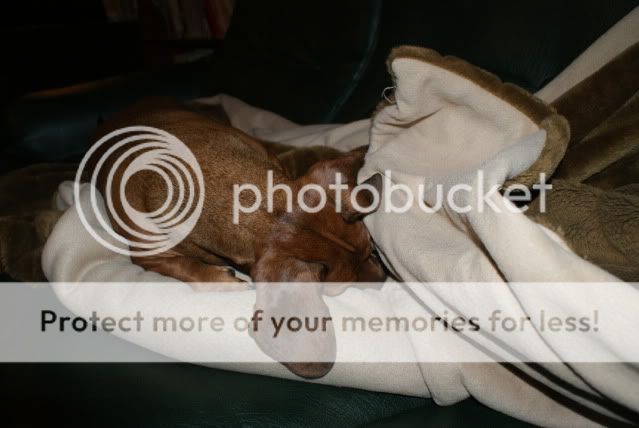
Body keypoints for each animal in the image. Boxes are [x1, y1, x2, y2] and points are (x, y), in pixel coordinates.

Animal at [88, 98, 385, 377]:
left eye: (372, 249)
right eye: (344, 288)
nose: (384, 279)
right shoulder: (147, 255)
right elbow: (181, 265)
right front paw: (218, 279)